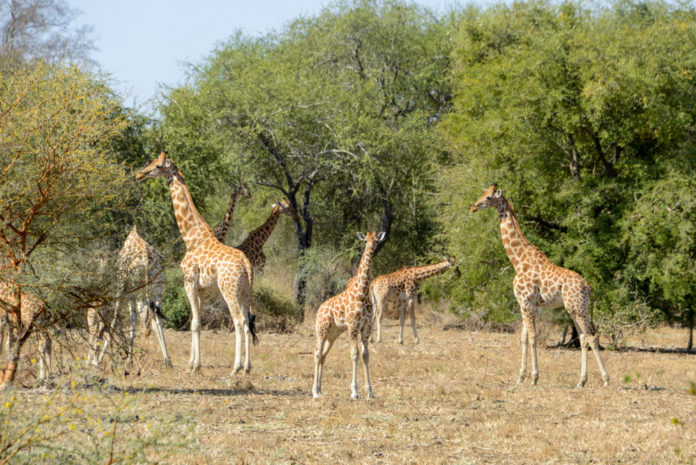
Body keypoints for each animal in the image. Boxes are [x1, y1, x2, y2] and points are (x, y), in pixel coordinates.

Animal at [88, 227, 173, 368]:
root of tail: (146, 258)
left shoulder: (122, 290)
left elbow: (117, 320)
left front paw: (98, 360)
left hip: (136, 291)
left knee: (139, 319)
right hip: (156, 289)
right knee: (156, 318)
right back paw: (168, 362)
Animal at [136, 151, 256, 374]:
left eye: (158, 166)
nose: (140, 174)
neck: (191, 236)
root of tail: (246, 264)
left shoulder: (189, 281)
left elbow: (194, 324)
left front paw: (196, 366)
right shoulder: (201, 288)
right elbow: (195, 321)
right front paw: (192, 362)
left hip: (228, 289)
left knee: (238, 320)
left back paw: (235, 367)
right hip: (246, 291)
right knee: (246, 322)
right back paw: (247, 367)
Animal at [312, 230, 384, 396]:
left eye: (376, 241)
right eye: (365, 241)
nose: (371, 249)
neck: (362, 293)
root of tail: (319, 309)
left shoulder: (366, 327)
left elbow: (366, 355)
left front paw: (369, 392)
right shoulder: (352, 327)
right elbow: (354, 355)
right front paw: (354, 392)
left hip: (333, 333)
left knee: (323, 355)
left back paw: (320, 390)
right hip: (322, 329)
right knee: (317, 353)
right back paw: (314, 392)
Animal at [470, 185, 612, 388]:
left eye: (488, 197)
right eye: (482, 194)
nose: (474, 206)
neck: (518, 260)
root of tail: (588, 286)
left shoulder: (527, 302)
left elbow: (532, 337)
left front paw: (534, 378)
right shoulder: (523, 304)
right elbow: (523, 338)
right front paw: (520, 377)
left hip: (578, 308)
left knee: (592, 336)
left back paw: (606, 380)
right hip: (574, 308)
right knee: (583, 338)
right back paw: (581, 382)